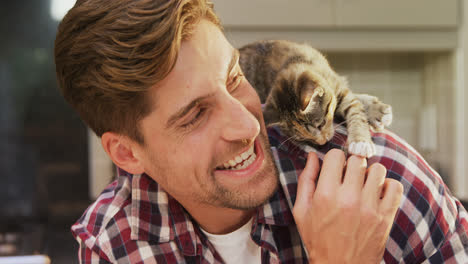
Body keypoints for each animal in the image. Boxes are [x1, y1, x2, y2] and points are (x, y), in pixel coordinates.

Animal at [238, 39, 392, 157]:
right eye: (302, 138)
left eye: (321, 124)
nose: (322, 142)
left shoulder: (334, 81)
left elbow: (354, 106)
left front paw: (362, 137)